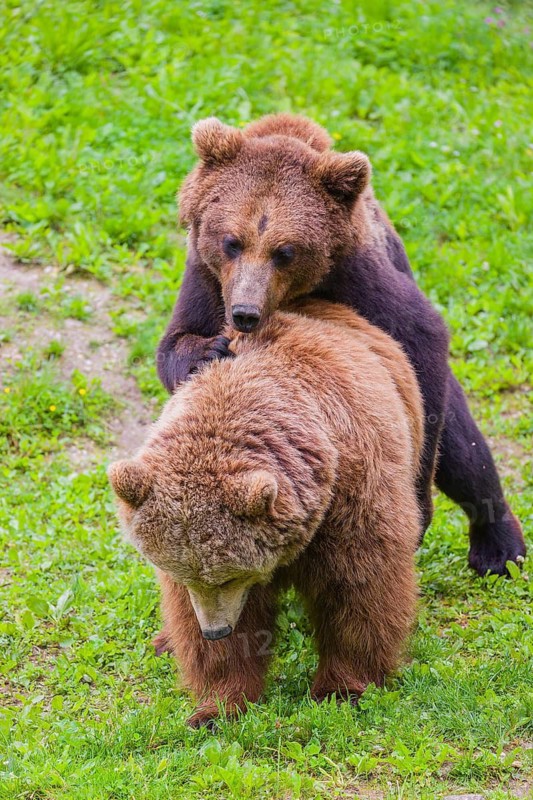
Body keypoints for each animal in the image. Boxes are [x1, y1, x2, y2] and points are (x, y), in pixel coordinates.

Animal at [109, 298, 423, 728]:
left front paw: (342, 689)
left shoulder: (351, 492)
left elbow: (358, 588)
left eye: (228, 576)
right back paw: (166, 641)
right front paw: (217, 705)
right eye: (185, 574)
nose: (215, 631)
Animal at [156, 113, 525, 578]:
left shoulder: (356, 275)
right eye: (231, 241)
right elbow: (176, 342)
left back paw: (499, 548)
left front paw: (419, 507)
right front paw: (210, 350)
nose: (244, 313)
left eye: (285, 251)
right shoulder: (205, 276)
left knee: (462, 447)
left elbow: (419, 337)